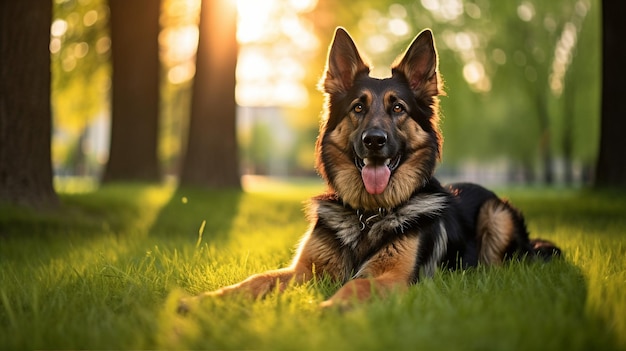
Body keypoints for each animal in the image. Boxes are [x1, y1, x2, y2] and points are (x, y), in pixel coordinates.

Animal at [179, 27, 556, 310]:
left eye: (398, 108)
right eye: (358, 107)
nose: (374, 141)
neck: (368, 214)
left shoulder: (393, 278)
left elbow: (354, 286)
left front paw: (325, 309)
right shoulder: (303, 271)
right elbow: (256, 280)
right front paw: (205, 300)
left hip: (497, 214)